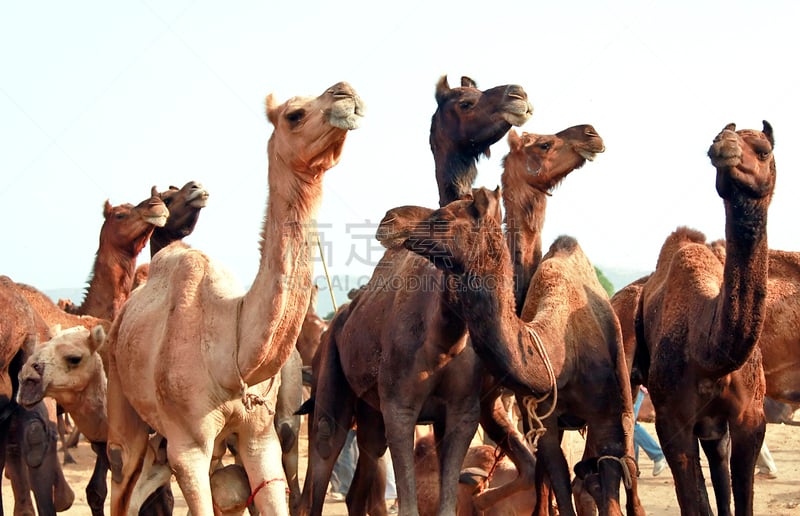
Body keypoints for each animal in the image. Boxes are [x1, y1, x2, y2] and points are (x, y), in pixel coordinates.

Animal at [104, 80, 364, 516]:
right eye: (294, 114)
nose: (345, 92)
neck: (232, 349)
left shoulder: (260, 435)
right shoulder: (187, 446)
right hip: (124, 404)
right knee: (121, 482)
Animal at [300, 73, 532, 516]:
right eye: (465, 101)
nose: (519, 95)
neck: (445, 331)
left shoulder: (459, 413)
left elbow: (445, 502)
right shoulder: (400, 407)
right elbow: (408, 503)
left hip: (369, 416)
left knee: (361, 487)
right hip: (331, 386)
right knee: (318, 467)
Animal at [382, 186, 644, 516]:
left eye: (442, 217)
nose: (390, 220)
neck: (562, 355)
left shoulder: (607, 418)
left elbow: (610, 483)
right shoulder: (543, 421)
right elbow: (559, 480)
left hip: (624, 402)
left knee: (625, 470)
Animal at [636, 122, 780, 516]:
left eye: (764, 150)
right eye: (717, 138)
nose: (723, 146)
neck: (709, 353)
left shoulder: (751, 418)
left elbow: (742, 495)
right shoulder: (671, 419)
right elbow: (695, 502)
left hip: (715, 426)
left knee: (719, 465)